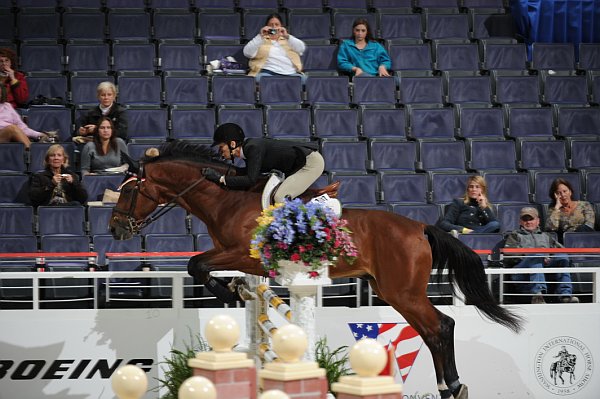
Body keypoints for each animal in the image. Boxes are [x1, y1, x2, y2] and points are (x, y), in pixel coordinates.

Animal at [110, 141, 524, 399]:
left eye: (128, 191)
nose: (115, 229)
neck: (226, 198)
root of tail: (421, 227)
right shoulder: (235, 255)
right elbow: (201, 265)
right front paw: (235, 291)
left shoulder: (243, 255)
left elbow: (197, 263)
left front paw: (227, 291)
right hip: (392, 291)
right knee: (431, 330)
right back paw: (447, 387)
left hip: (401, 291)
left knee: (440, 326)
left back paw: (453, 386)